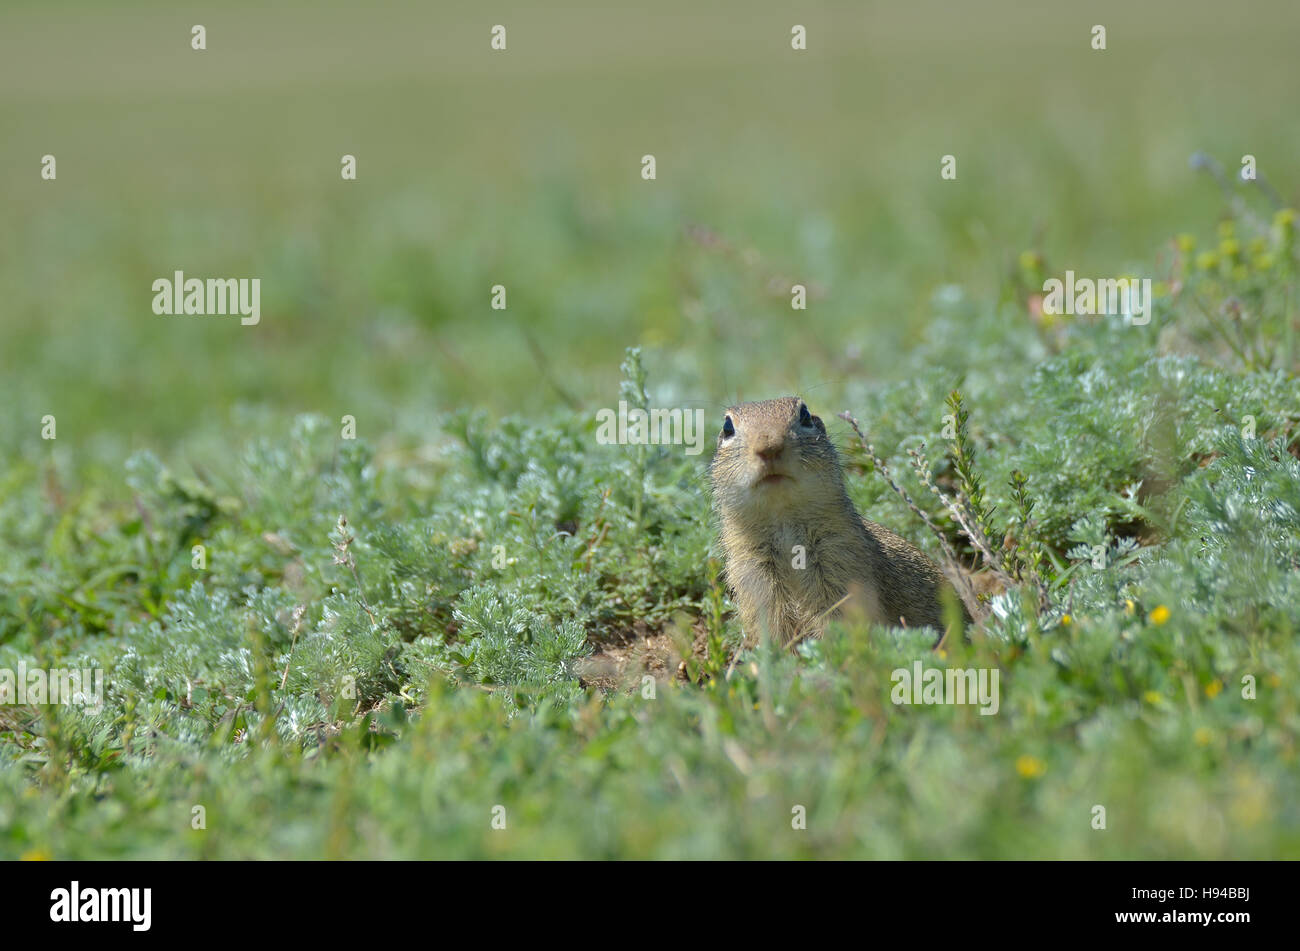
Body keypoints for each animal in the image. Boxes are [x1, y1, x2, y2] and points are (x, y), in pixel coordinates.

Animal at [709, 396, 965, 647]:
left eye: (805, 415)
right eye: (728, 427)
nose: (769, 447)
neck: (784, 523)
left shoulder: (840, 562)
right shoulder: (755, 575)